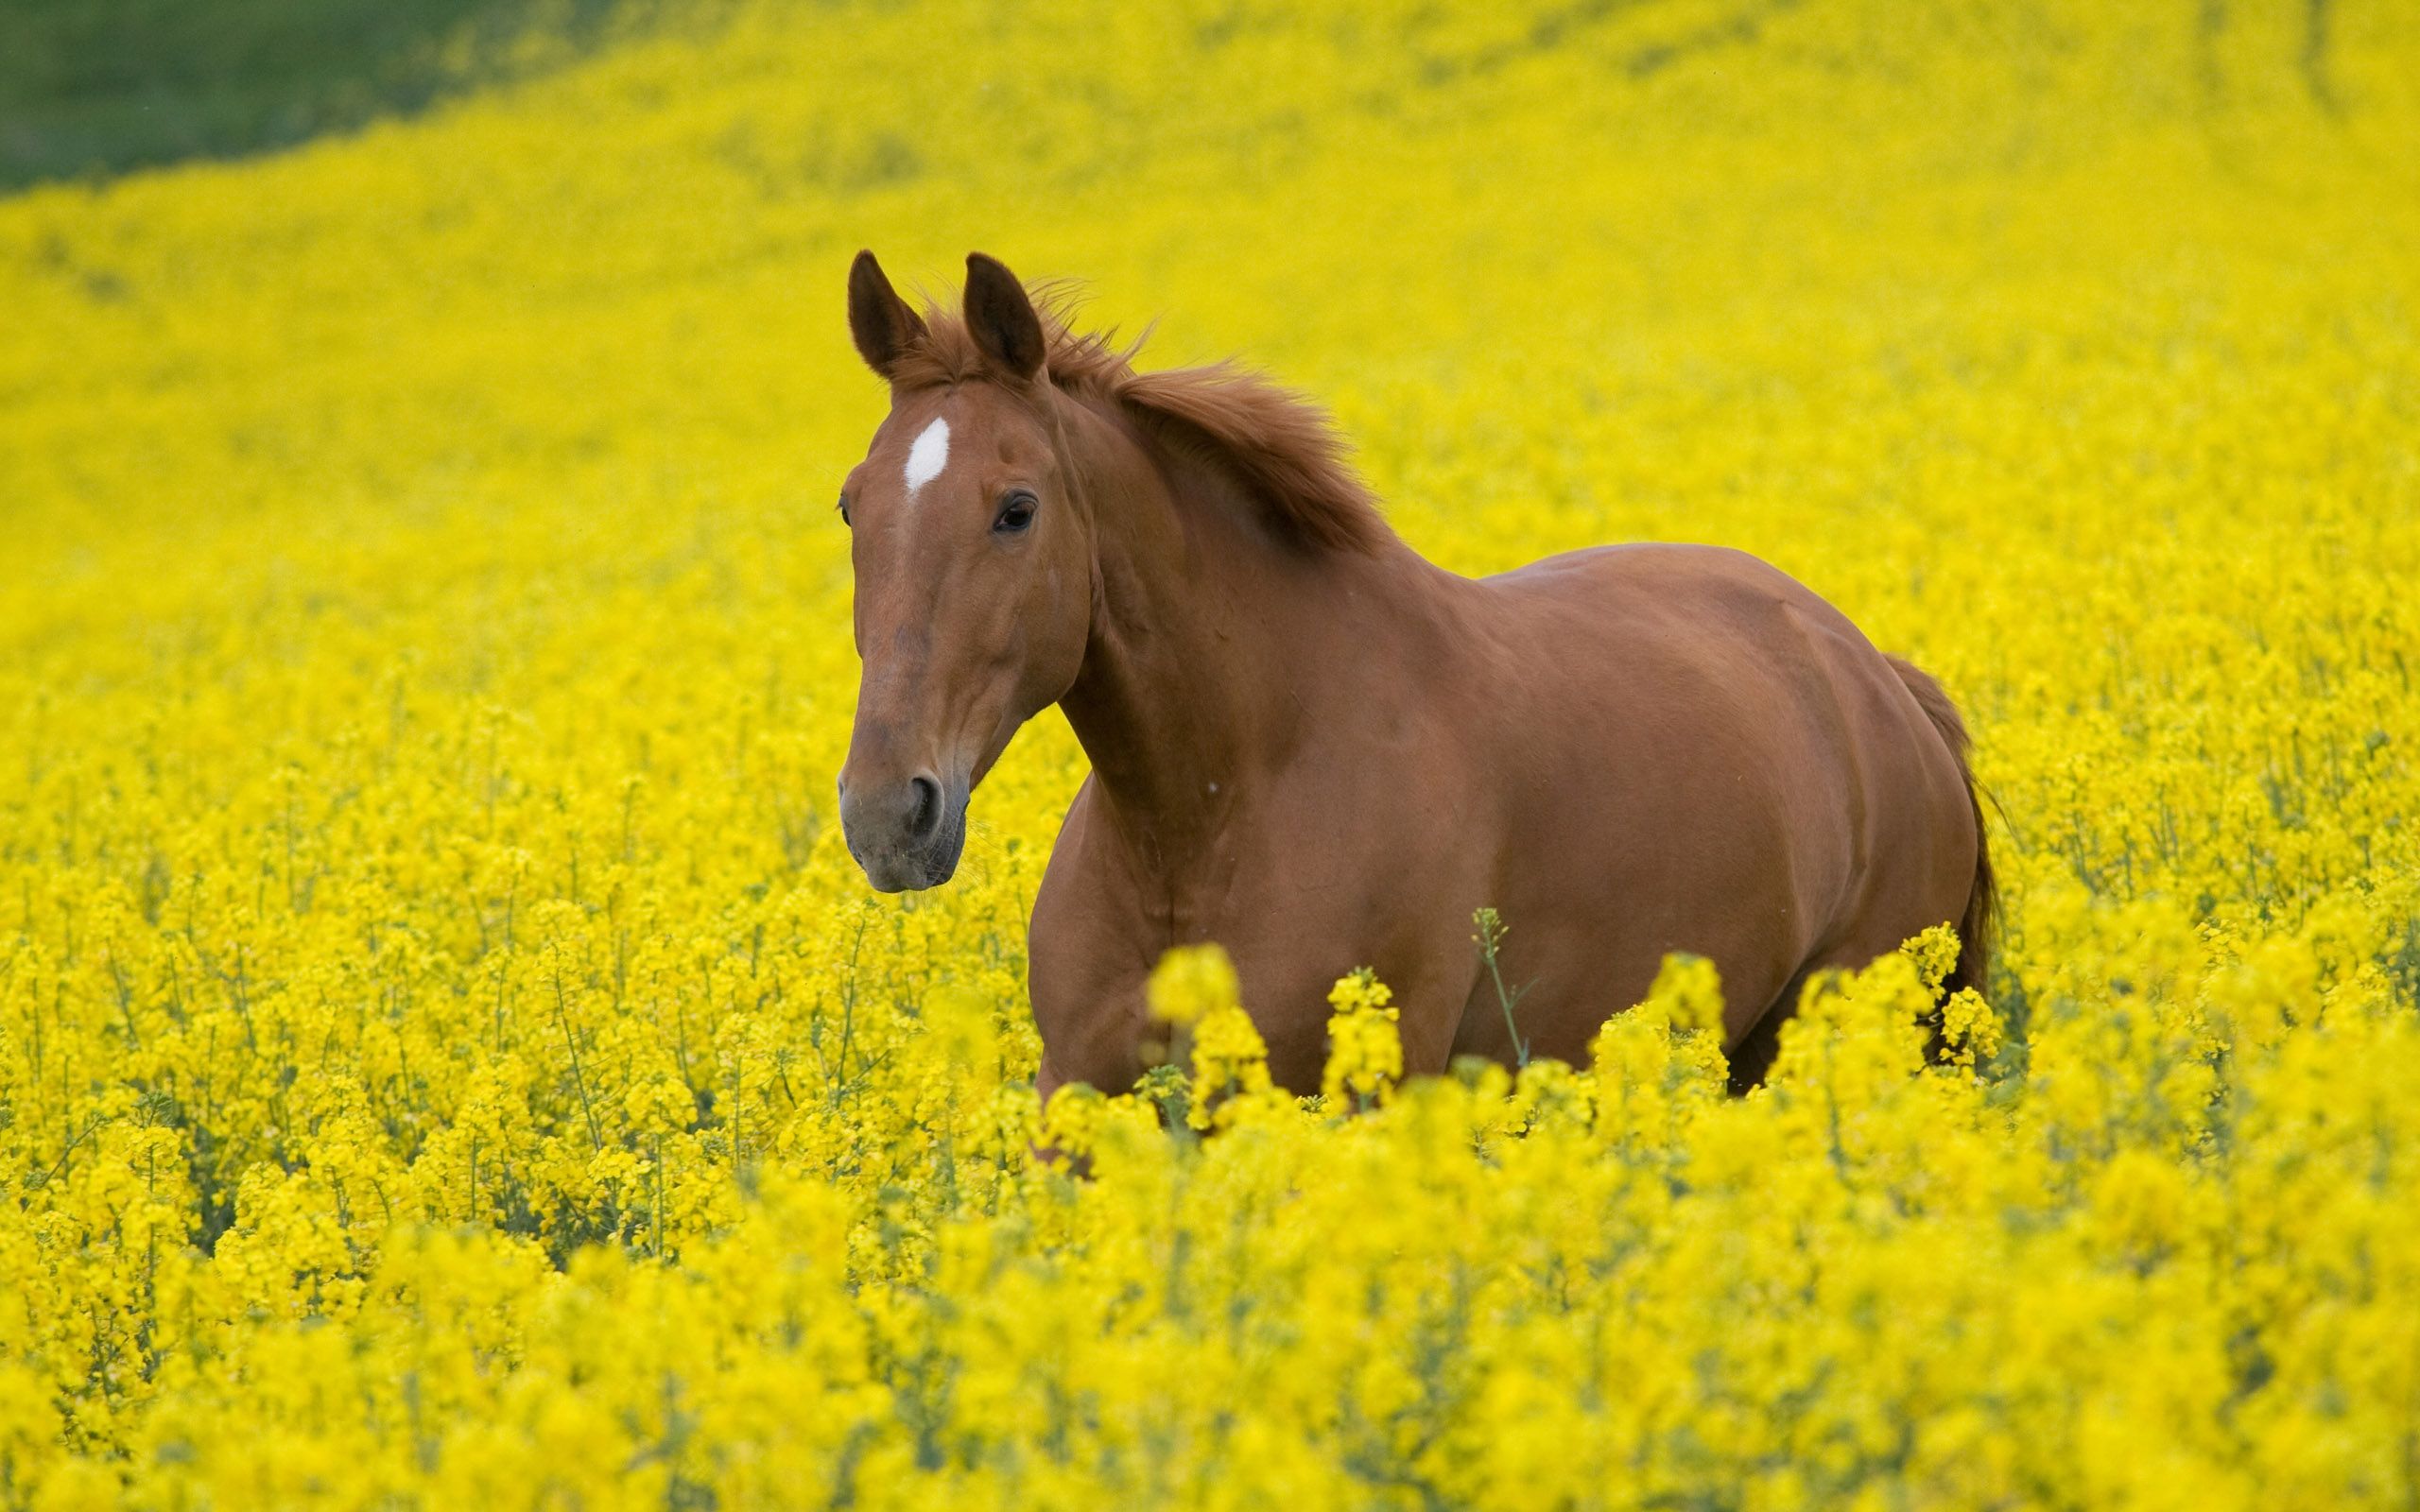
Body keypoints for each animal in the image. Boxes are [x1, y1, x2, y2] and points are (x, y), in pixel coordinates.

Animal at [834, 251, 1994, 1098]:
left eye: (1016, 508)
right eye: (852, 505)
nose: (889, 814)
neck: (1211, 815)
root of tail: (1877, 679)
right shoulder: (1077, 1099)